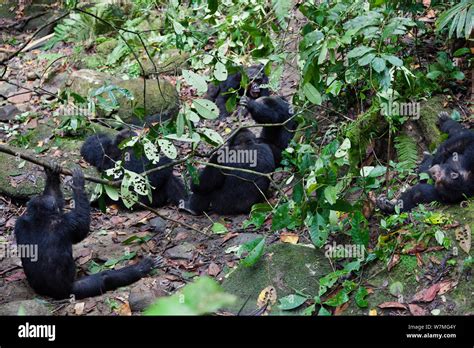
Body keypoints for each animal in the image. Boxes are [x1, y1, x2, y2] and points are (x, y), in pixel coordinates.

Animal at [14, 164, 160, 300]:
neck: (39, 217)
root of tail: (53, 294)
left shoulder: (19, 223)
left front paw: (52, 173)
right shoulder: (67, 222)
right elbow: (82, 228)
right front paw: (78, 183)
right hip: (75, 289)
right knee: (105, 278)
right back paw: (142, 267)